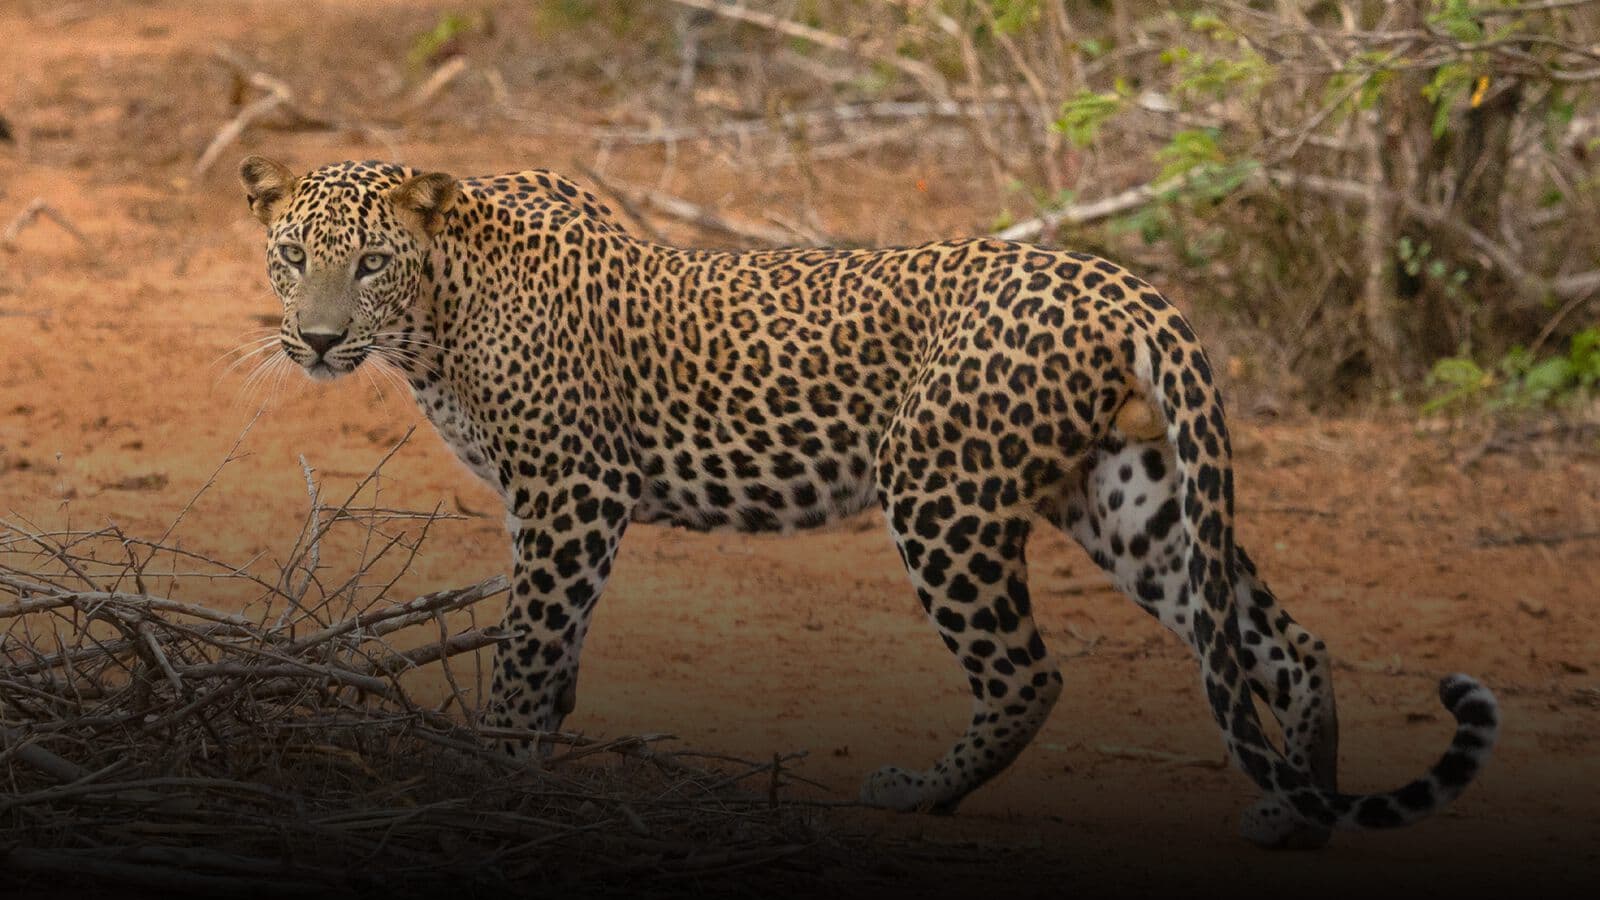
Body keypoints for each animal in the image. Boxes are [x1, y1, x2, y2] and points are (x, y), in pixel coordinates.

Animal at [239, 156, 1499, 847]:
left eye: (370, 264)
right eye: (291, 255)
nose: (317, 340)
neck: (438, 316)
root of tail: (1116, 281)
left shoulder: (572, 491)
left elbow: (530, 645)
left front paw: (491, 773)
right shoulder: (557, 504)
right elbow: (556, 655)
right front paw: (531, 757)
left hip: (940, 491)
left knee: (1029, 673)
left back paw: (915, 795)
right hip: (1129, 498)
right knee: (1277, 645)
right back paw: (1298, 809)